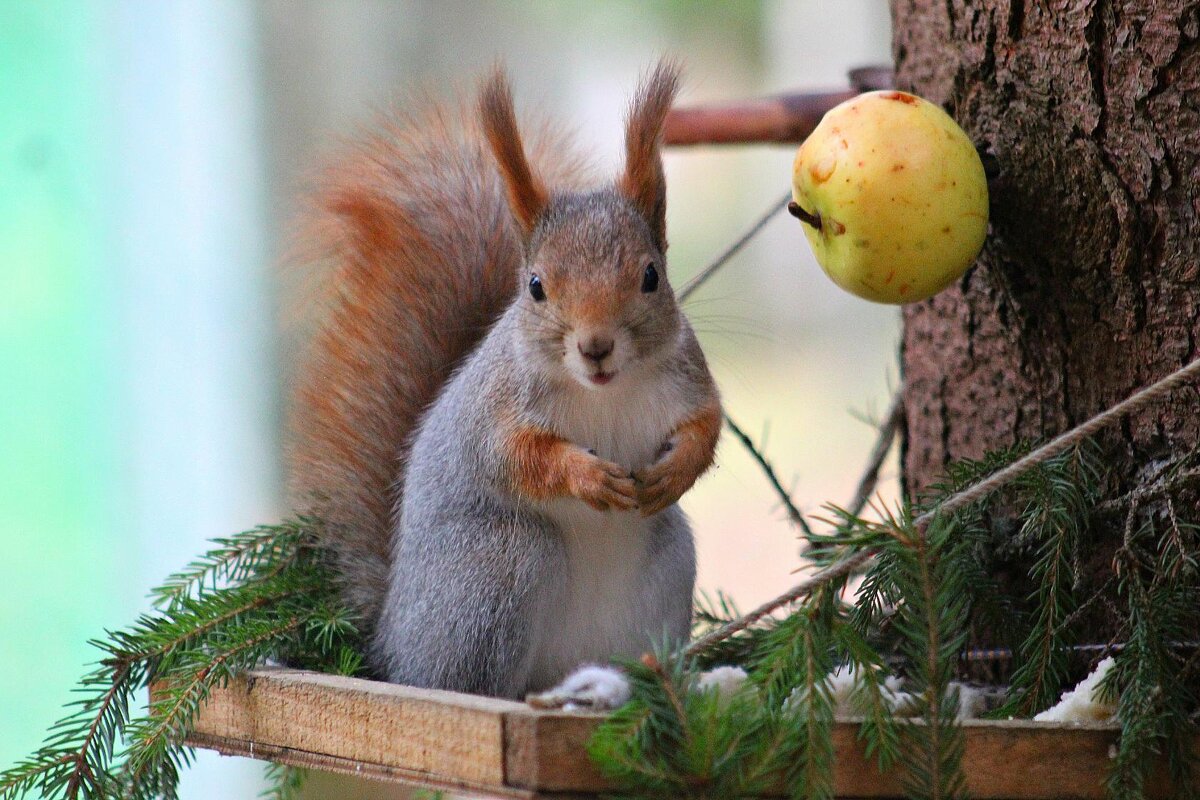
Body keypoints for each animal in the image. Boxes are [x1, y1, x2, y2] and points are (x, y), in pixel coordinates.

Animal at [290, 61, 720, 700]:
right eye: (536, 285)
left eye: (651, 276)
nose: (595, 347)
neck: (605, 392)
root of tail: (391, 640)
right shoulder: (495, 409)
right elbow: (511, 456)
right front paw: (586, 475)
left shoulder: (688, 378)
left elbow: (706, 427)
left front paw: (675, 471)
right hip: (500, 567)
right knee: (465, 680)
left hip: (669, 565)